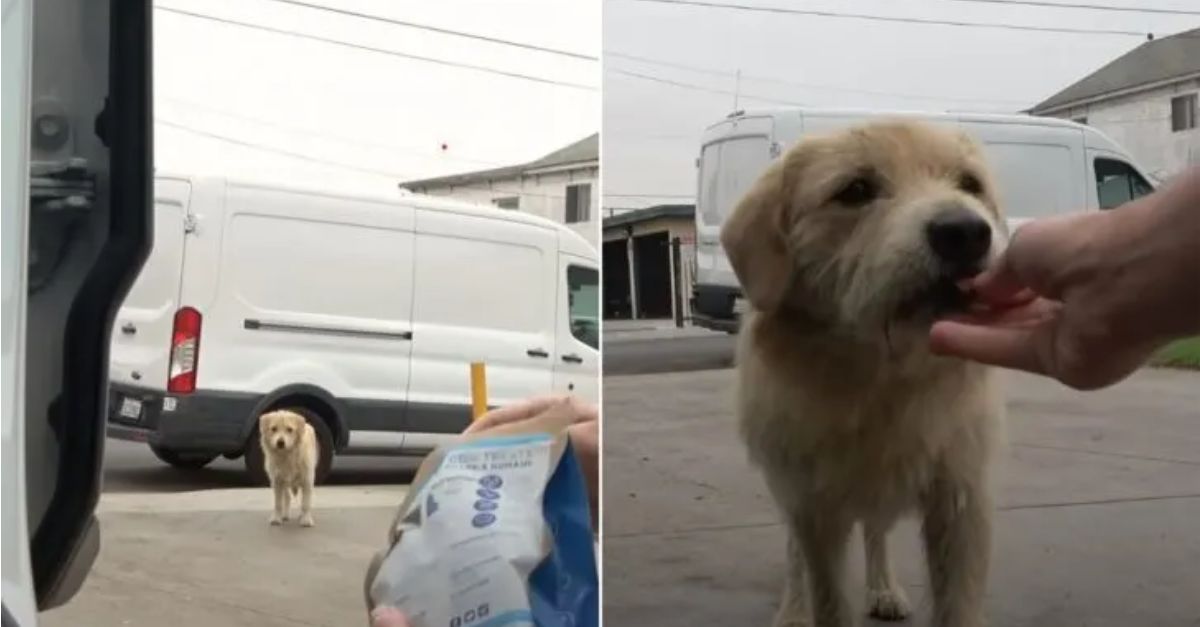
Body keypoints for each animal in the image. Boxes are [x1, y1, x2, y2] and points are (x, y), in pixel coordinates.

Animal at [724, 118, 1008, 624]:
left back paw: (884, 588)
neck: (881, 377)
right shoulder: (814, 507)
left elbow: (957, 604)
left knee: (876, 531)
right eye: (855, 190)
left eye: (969, 184)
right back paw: (793, 609)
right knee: (795, 555)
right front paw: (807, 607)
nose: (966, 232)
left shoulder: (961, 499)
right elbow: (827, 595)